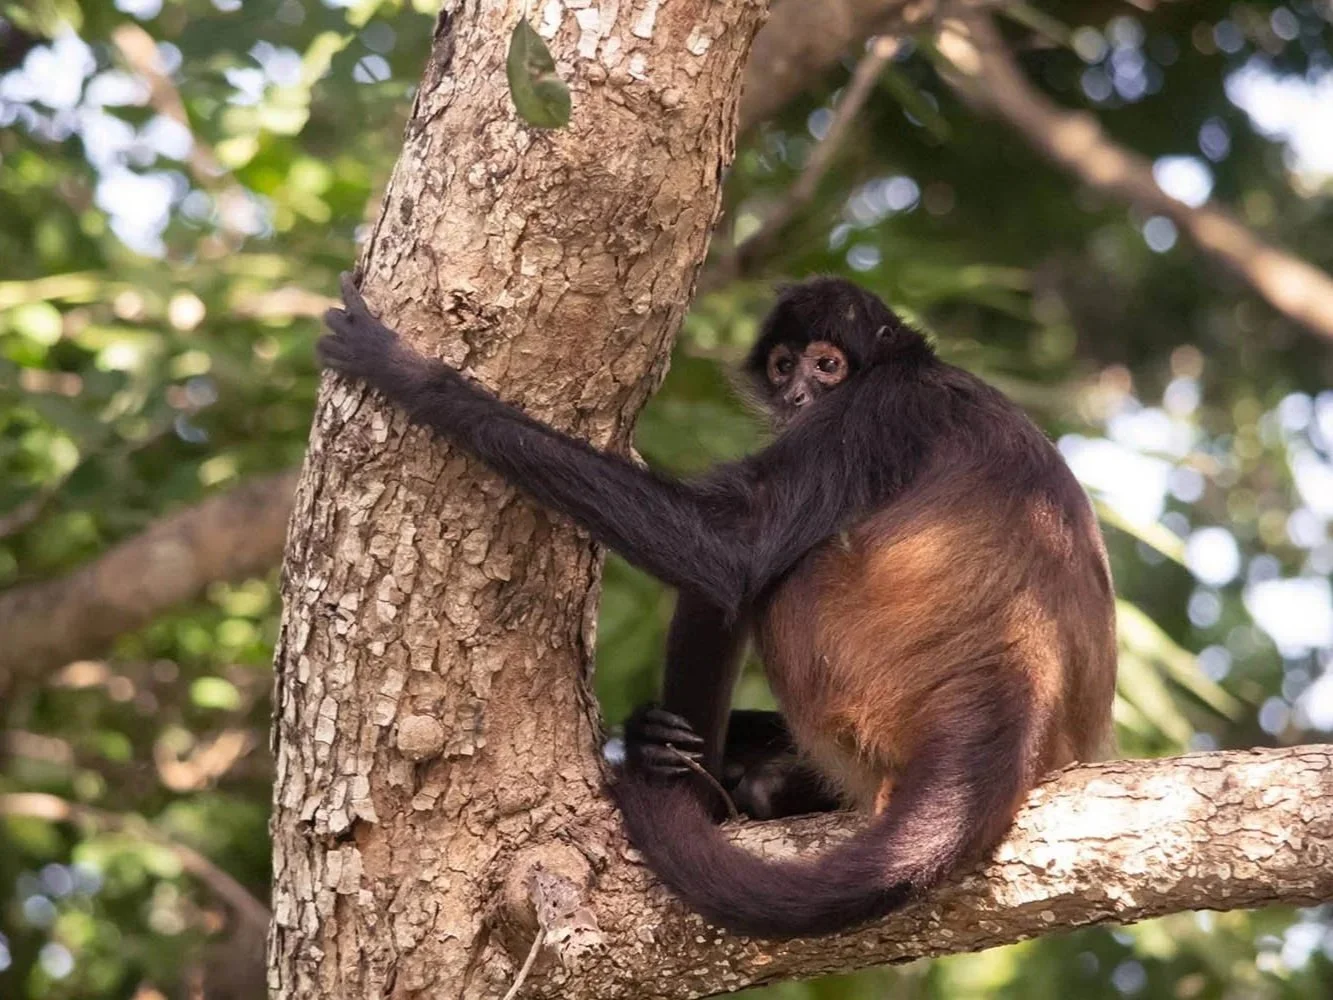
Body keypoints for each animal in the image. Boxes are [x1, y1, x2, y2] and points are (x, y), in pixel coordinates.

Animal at [317, 272, 1117, 940]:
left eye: (827, 365)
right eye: (783, 367)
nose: (797, 398)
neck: (909, 369)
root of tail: (1008, 691)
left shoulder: (873, 409)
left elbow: (732, 549)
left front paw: (410, 374)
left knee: (749, 576)